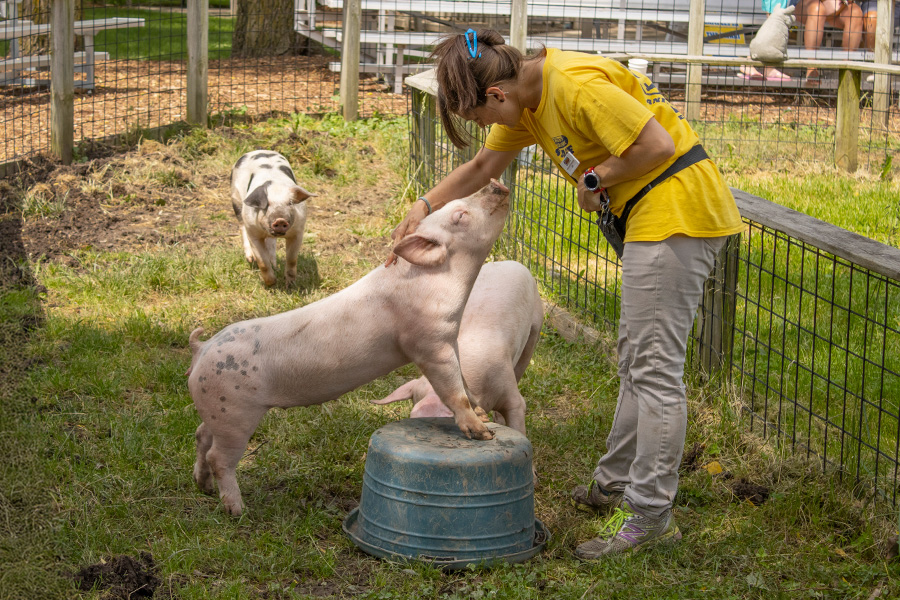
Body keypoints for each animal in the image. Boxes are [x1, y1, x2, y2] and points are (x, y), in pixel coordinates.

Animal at [186, 178, 510, 516]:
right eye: (460, 214)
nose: (495, 183)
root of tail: (201, 349)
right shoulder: (429, 342)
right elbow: (452, 390)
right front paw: (483, 433)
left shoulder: (449, 338)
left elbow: (465, 382)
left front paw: (482, 413)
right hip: (235, 413)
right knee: (219, 457)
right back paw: (238, 510)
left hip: (217, 410)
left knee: (200, 436)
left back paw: (203, 487)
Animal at [230, 152, 318, 288]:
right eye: (267, 204)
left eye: (290, 203)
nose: (280, 219)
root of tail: (258, 151)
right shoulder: (253, 232)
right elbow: (262, 262)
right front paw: (271, 284)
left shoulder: (298, 231)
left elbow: (292, 260)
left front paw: (290, 286)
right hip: (236, 198)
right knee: (241, 226)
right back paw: (251, 259)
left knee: (271, 242)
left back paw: (274, 265)